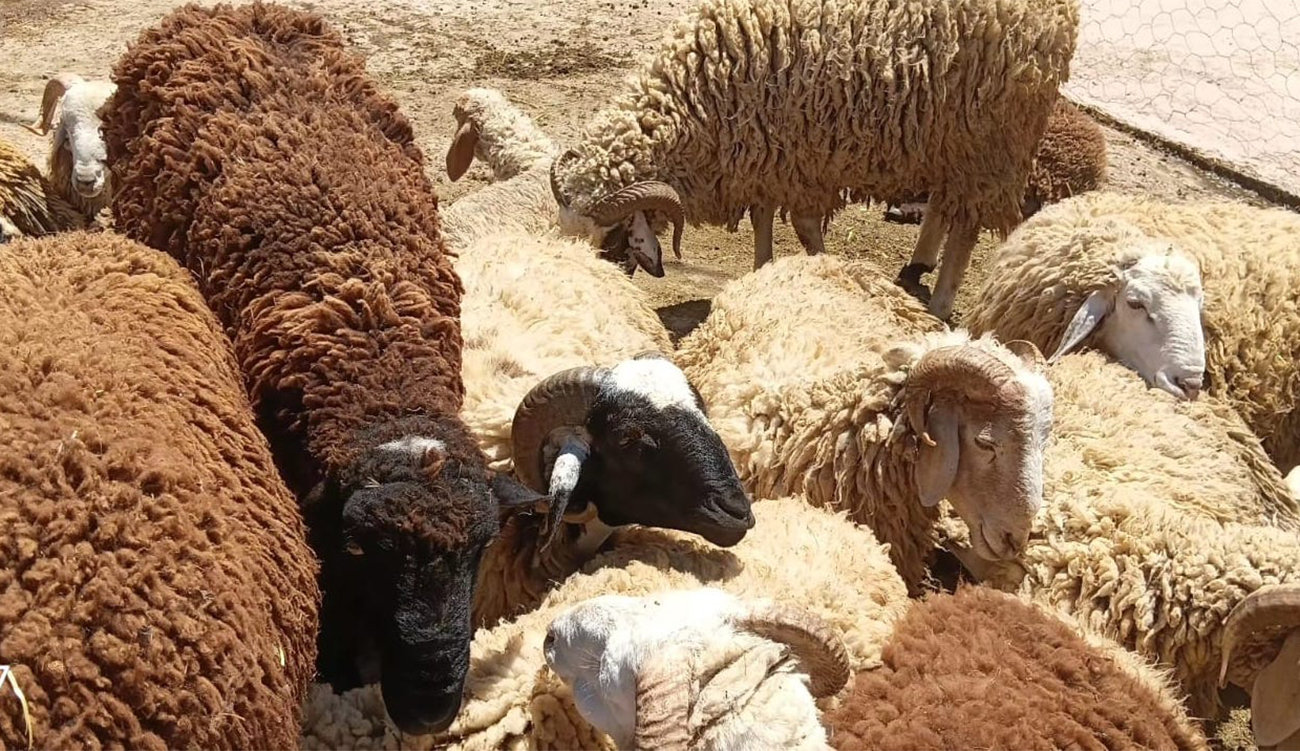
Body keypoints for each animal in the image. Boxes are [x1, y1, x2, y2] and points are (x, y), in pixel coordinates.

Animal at [547, 0, 1079, 317]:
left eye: (611, 239)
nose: (597, 294)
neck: (698, 94)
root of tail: (1059, 12)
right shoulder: (766, 152)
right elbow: (763, 218)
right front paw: (761, 271)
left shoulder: (802, 157)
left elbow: (803, 227)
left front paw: (821, 274)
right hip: (948, 140)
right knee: (944, 207)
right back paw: (917, 264)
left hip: (991, 143)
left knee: (966, 225)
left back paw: (943, 301)